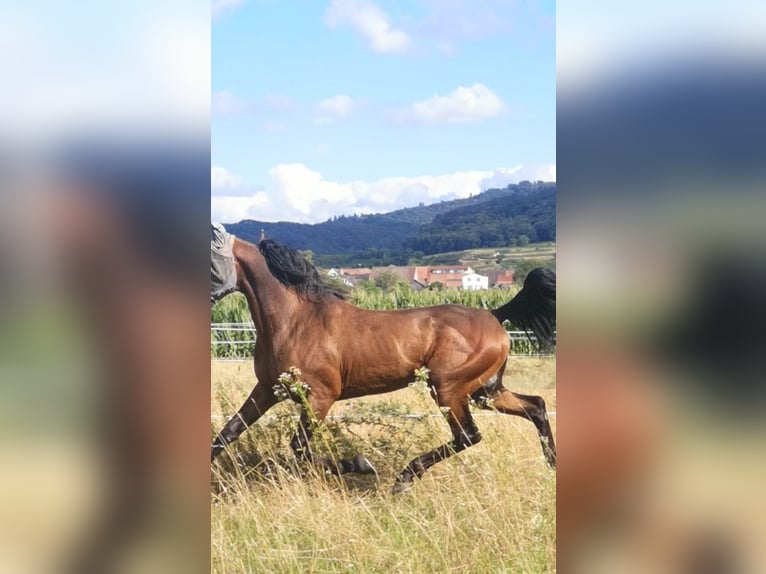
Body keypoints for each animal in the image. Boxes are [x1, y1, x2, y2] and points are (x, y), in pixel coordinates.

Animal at [212, 238, 560, 496]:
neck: (295, 319)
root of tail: (495, 316)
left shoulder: (321, 396)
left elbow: (300, 448)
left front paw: (359, 464)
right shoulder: (267, 390)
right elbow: (226, 434)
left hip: (449, 388)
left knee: (468, 435)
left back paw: (404, 479)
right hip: (484, 391)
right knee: (536, 406)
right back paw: (553, 467)